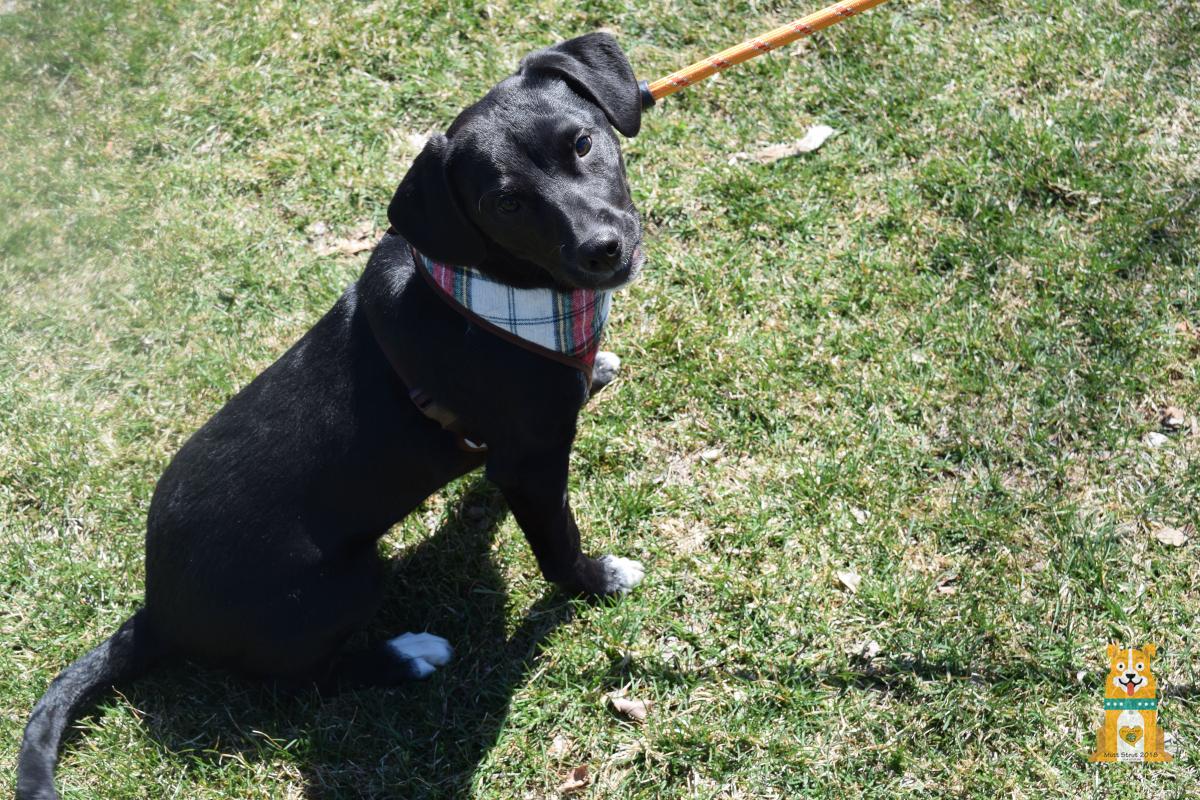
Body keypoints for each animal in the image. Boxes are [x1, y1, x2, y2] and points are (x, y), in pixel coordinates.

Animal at [18, 32, 646, 800]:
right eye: (504, 202)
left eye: (582, 143)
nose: (602, 250)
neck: (503, 294)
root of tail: (156, 610)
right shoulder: (532, 462)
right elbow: (557, 542)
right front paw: (596, 581)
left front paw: (595, 373)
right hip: (346, 580)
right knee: (302, 683)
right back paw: (407, 655)